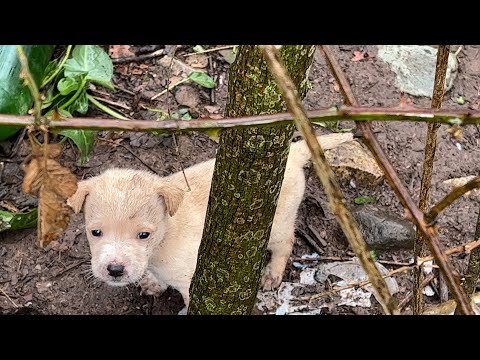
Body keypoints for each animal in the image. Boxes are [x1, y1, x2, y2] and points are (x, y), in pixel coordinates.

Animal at [67, 133, 350, 310]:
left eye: (144, 235)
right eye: (95, 232)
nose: (115, 270)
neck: (164, 239)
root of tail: (291, 154)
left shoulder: (191, 282)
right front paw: (154, 283)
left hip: (278, 224)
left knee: (285, 243)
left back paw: (273, 273)